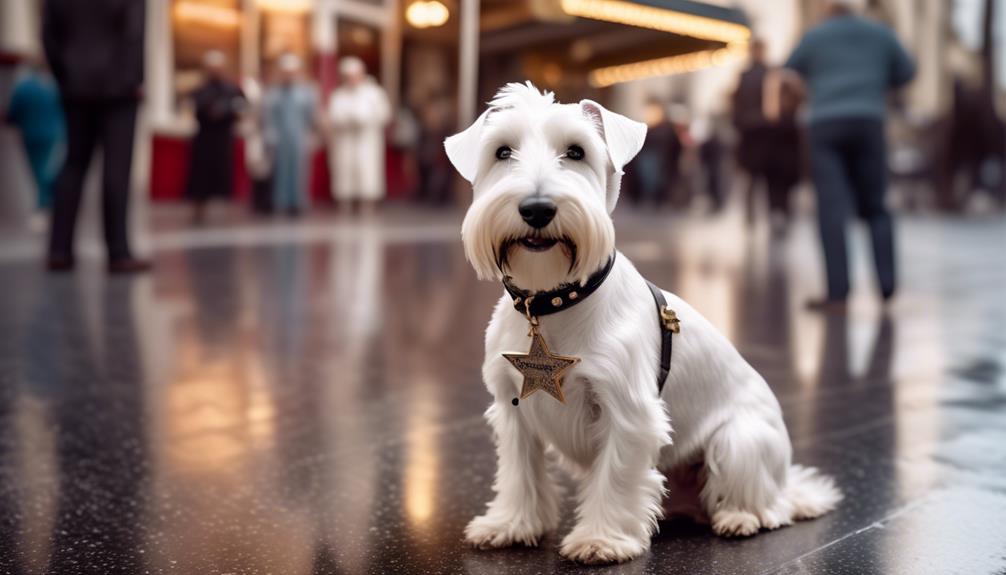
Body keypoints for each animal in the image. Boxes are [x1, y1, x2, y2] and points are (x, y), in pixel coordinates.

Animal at [448, 81, 841, 566]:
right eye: (502, 151)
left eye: (576, 152)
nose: (537, 208)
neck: (552, 303)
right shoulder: (513, 408)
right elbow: (520, 474)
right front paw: (511, 525)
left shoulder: (629, 412)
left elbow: (615, 476)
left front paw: (601, 539)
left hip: (739, 441)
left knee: (769, 505)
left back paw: (740, 517)